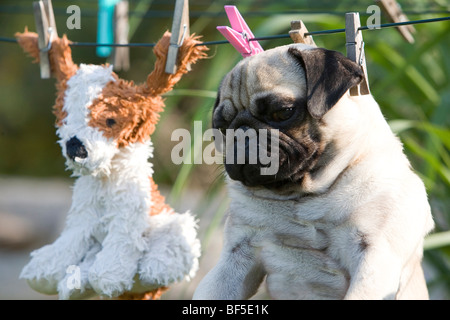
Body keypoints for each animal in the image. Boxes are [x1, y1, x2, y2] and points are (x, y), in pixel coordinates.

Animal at [192, 43, 432, 300]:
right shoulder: (237, 253)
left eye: (282, 112)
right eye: (222, 126)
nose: (242, 132)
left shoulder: (375, 256)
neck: (306, 194)